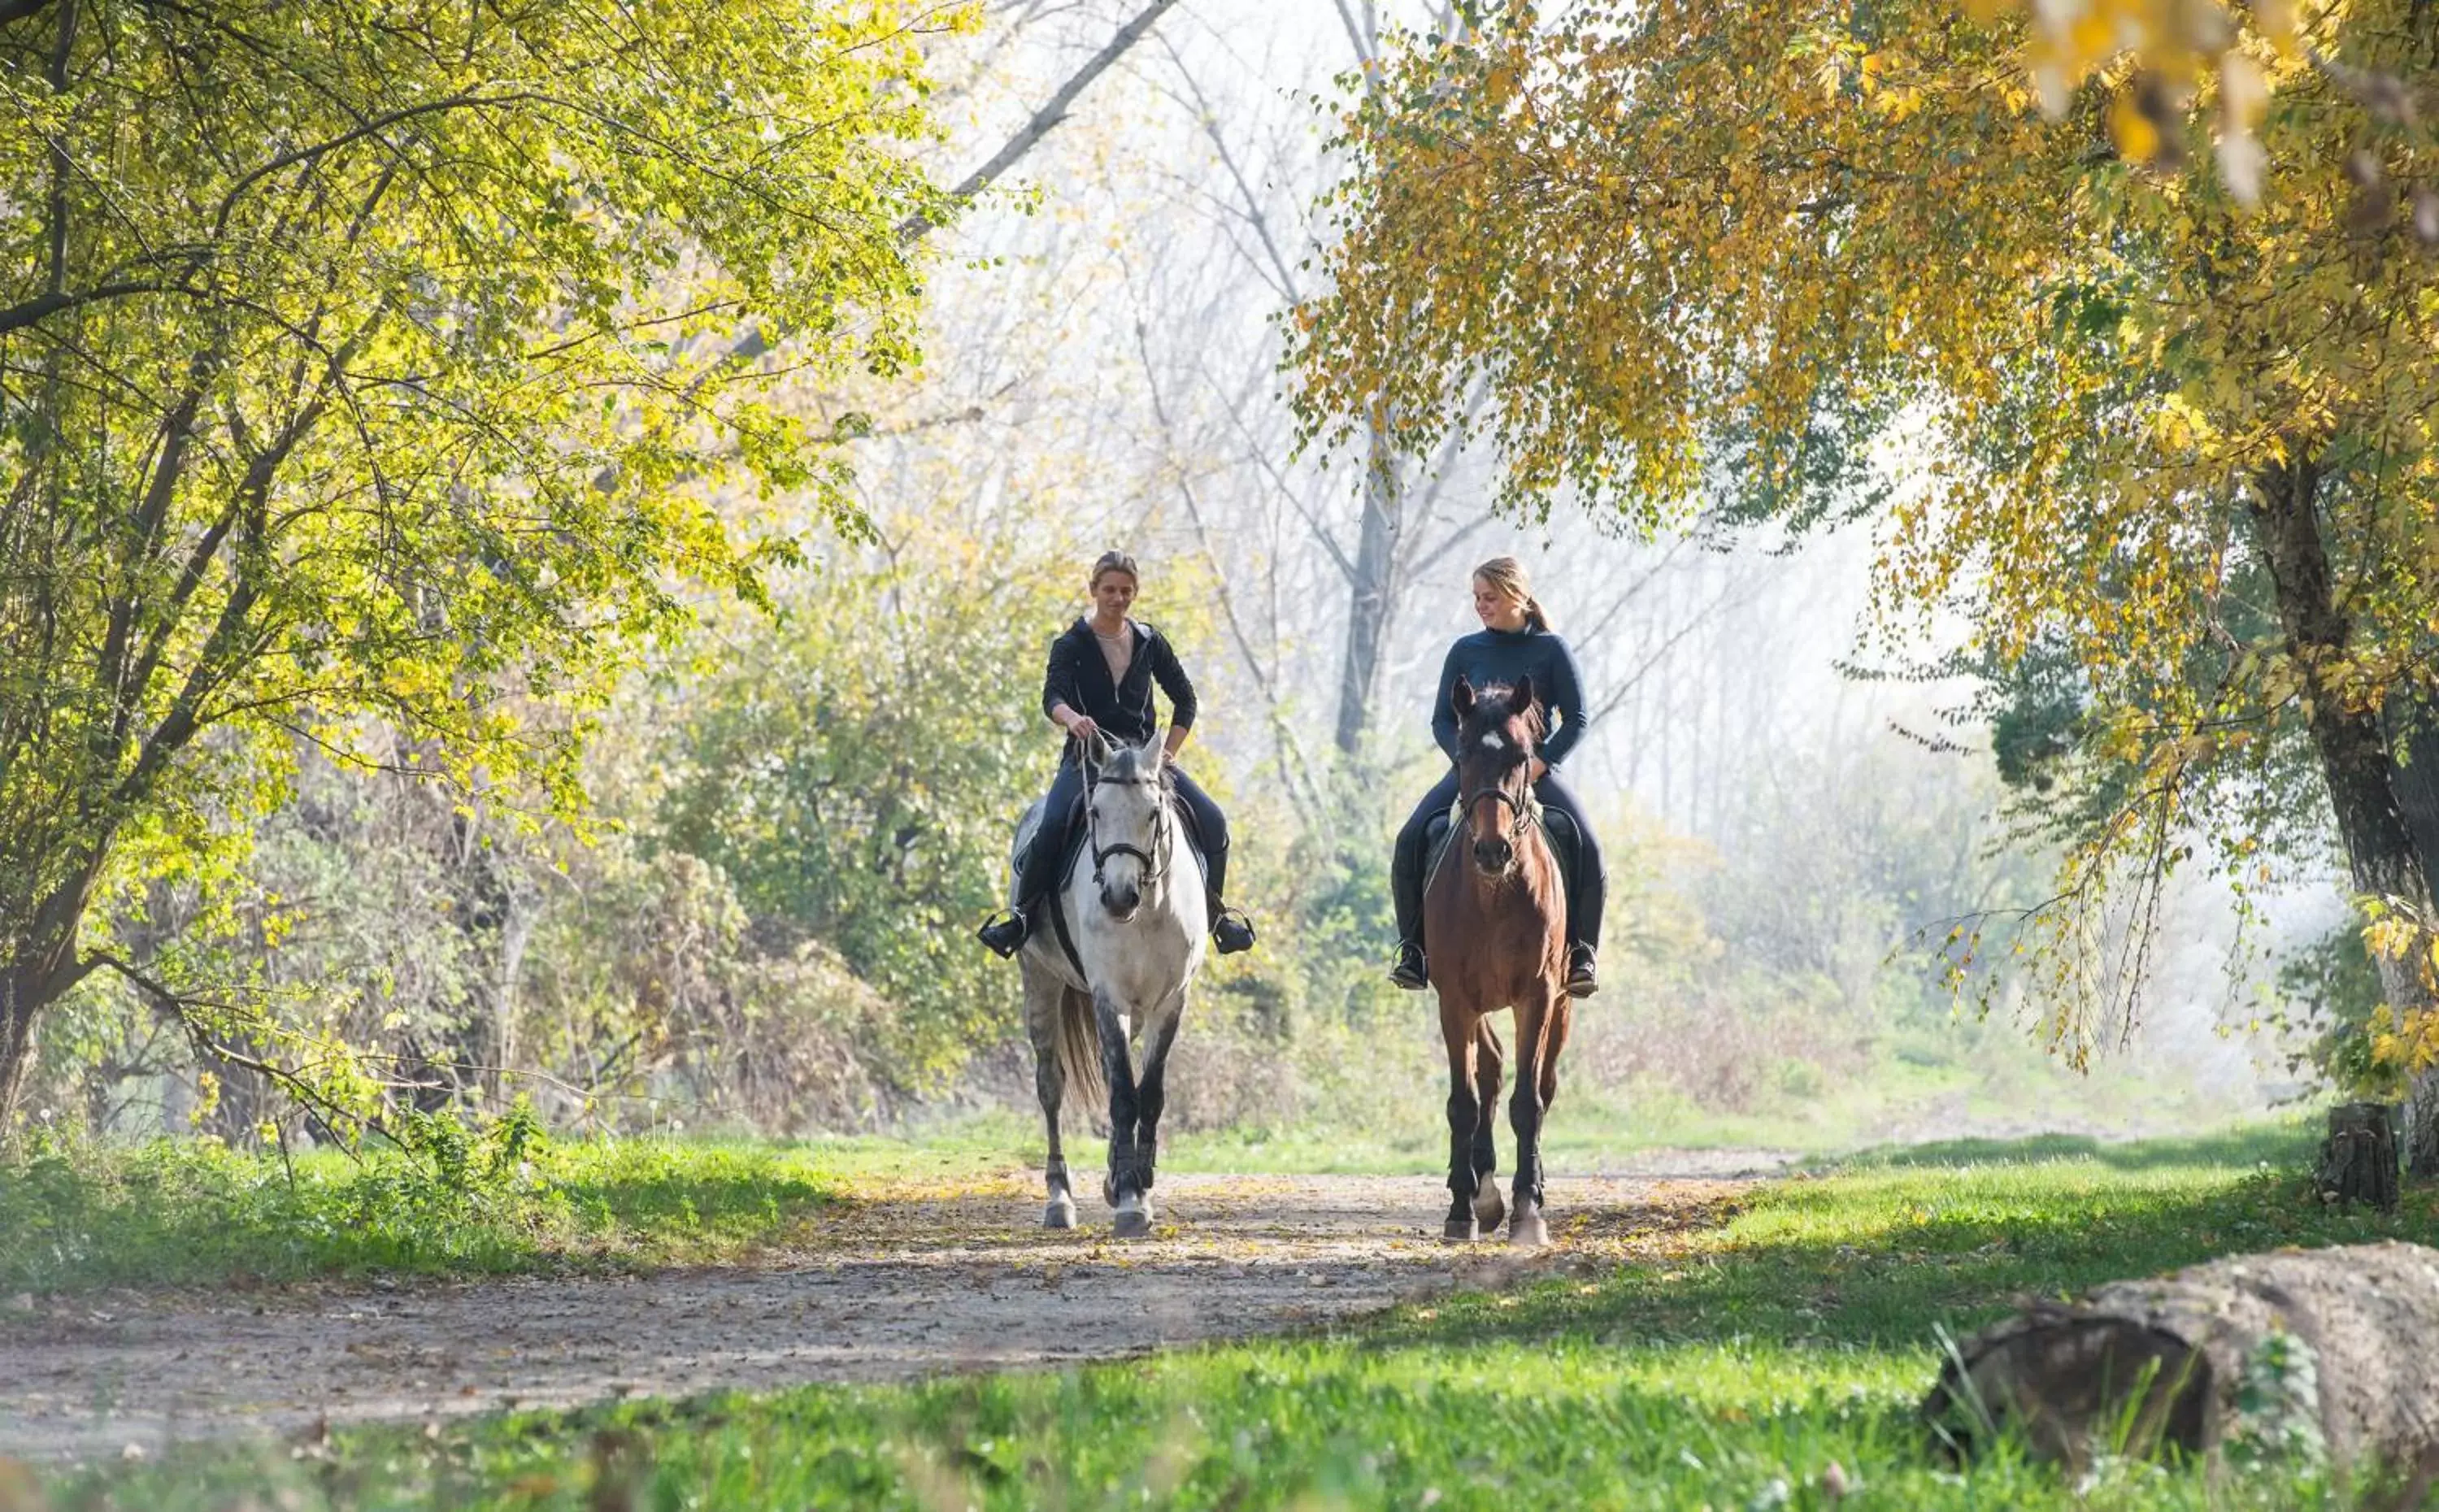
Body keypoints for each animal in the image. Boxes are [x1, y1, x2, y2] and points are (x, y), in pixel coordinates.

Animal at [1005, 732, 1205, 1239]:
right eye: (1095, 812)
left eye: (1152, 813)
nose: (1117, 897)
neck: (1149, 910)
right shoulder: (1108, 996)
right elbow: (1122, 1095)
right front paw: (1131, 1201)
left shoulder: (1169, 1002)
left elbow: (1147, 1094)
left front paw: (1137, 1185)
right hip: (1040, 980)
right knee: (1051, 1085)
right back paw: (1059, 1199)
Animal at [1424, 678, 1571, 1249]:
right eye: (1463, 753)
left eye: (1522, 756)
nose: (1492, 851)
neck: (1494, 895)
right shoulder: (1454, 1001)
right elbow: (1463, 1102)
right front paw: (1462, 1209)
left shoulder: (1538, 995)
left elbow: (1528, 1103)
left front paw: (1529, 1212)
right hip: (1478, 1004)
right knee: (1488, 1073)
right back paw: (1481, 1191)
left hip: (1563, 1004)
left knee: (1543, 1085)